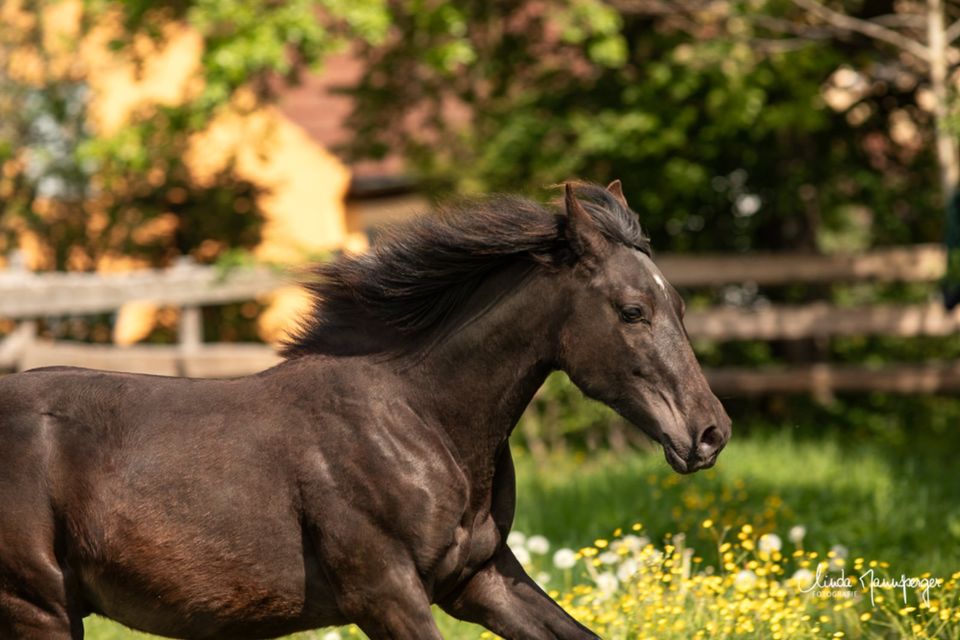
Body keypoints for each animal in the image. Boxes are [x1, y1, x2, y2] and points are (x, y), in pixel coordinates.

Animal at [0, 181, 728, 640]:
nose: (709, 432)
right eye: (632, 312)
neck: (416, 421)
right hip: (39, 608)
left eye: (677, 305)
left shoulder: (480, 578)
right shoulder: (384, 592)